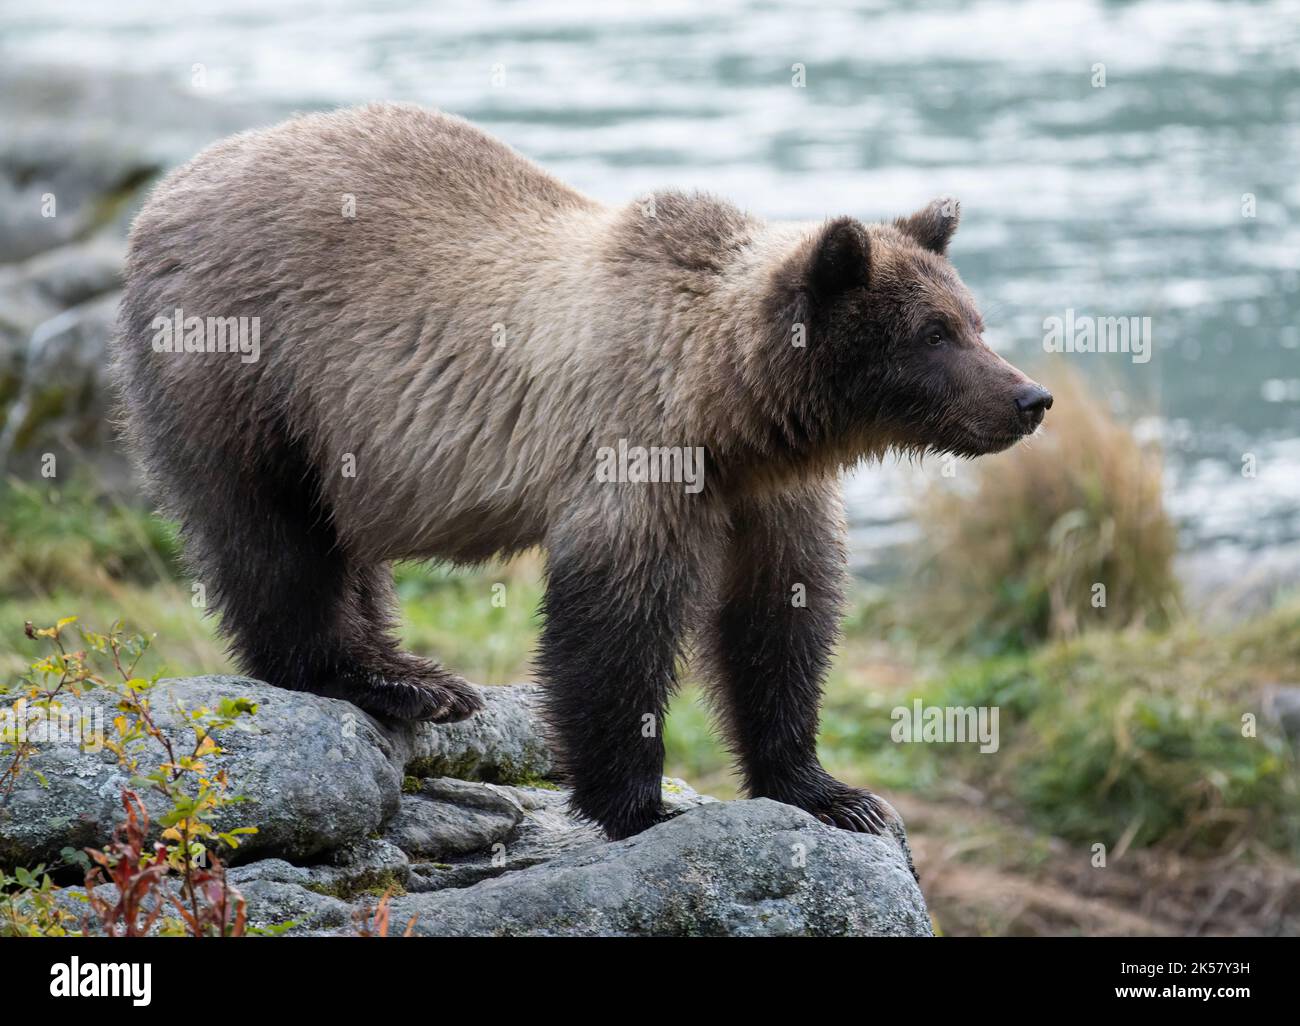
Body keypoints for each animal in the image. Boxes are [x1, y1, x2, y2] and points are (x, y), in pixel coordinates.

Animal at [106, 104, 1050, 842]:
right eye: (935, 333)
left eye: (973, 319)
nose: (1029, 397)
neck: (728, 408)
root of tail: (163, 194)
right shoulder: (635, 446)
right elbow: (614, 622)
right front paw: (639, 802)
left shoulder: (768, 492)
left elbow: (782, 615)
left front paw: (834, 793)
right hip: (253, 369)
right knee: (272, 532)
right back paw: (395, 679)